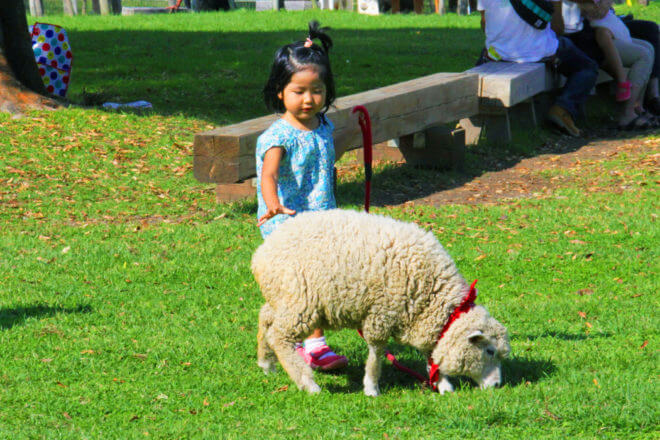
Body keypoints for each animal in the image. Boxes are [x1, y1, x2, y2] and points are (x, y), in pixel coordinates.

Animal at [253, 208, 510, 398]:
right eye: (489, 350)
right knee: (280, 337)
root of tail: (261, 254)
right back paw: (308, 383)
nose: (498, 386)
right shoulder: (382, 312)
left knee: (265, 319)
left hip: (283, 299)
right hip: (300, 302)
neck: (433, 297)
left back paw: (266, 363)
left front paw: (443, 384)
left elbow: (431, 354)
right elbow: (376, 352)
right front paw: (371, 387)